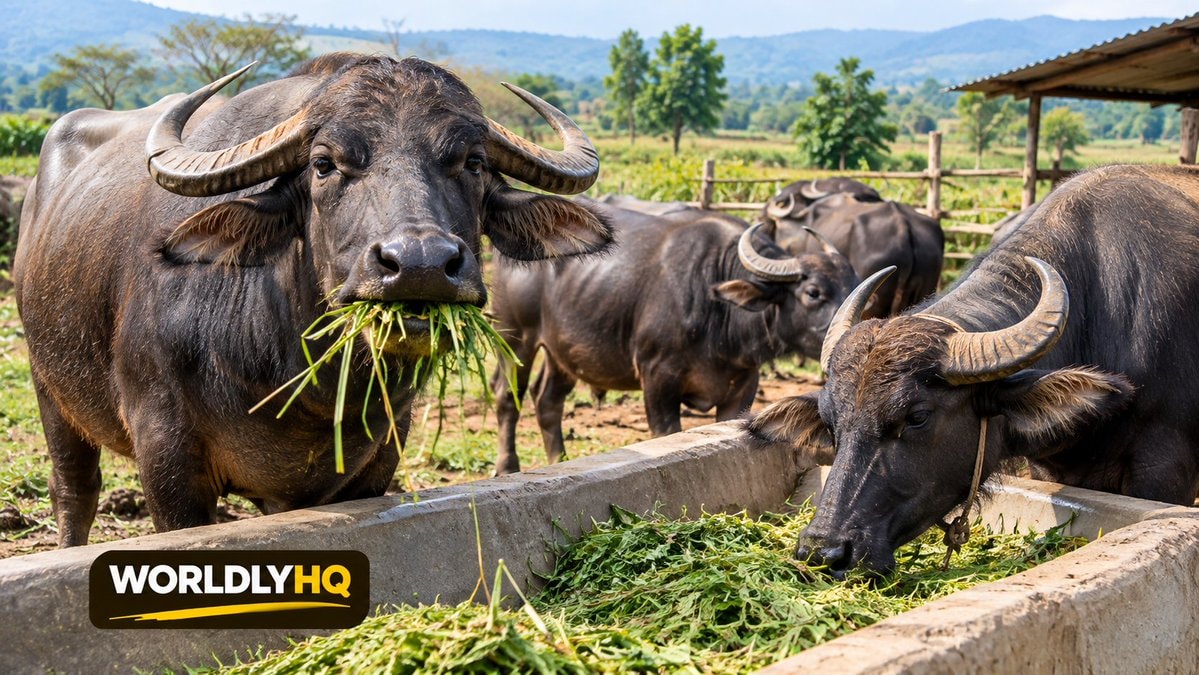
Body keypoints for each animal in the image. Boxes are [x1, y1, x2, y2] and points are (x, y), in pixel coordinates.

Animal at [15, 54, 612, 545]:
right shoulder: (166, 460)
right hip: (50, 387)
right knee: (75, 489)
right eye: (325, 164)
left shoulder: (377, 459)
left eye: (473, 163)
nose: (419, 265)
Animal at [490, 200, 859, 474]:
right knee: (508, 397)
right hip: (515, 338)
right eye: (813, 292)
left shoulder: (742, 387)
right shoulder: (658, 380)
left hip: (563, 353)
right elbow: (666, 432)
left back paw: (560, 460)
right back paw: (507, 466)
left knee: (548, 400)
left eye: (853, 283)